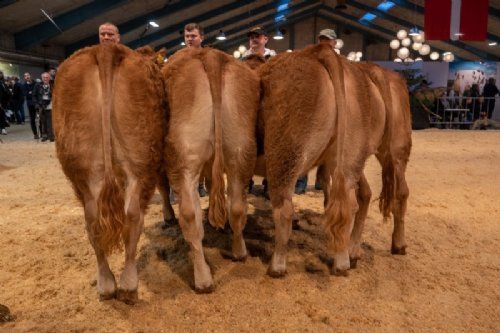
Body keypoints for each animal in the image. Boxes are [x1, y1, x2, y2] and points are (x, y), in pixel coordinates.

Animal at [52, 42, 167, 302]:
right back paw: (126, 285)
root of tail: (105, 49)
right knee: (131, 215)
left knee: (95, 218)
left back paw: (108, 284)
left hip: (87, 167)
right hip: (140, 161)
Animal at [162, 46, 260, 290]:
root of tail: (210, 55)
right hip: (240, 150)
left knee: (189, 215)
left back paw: (203, 278)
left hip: (183, 156)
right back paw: (239, 252)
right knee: (237, 207)